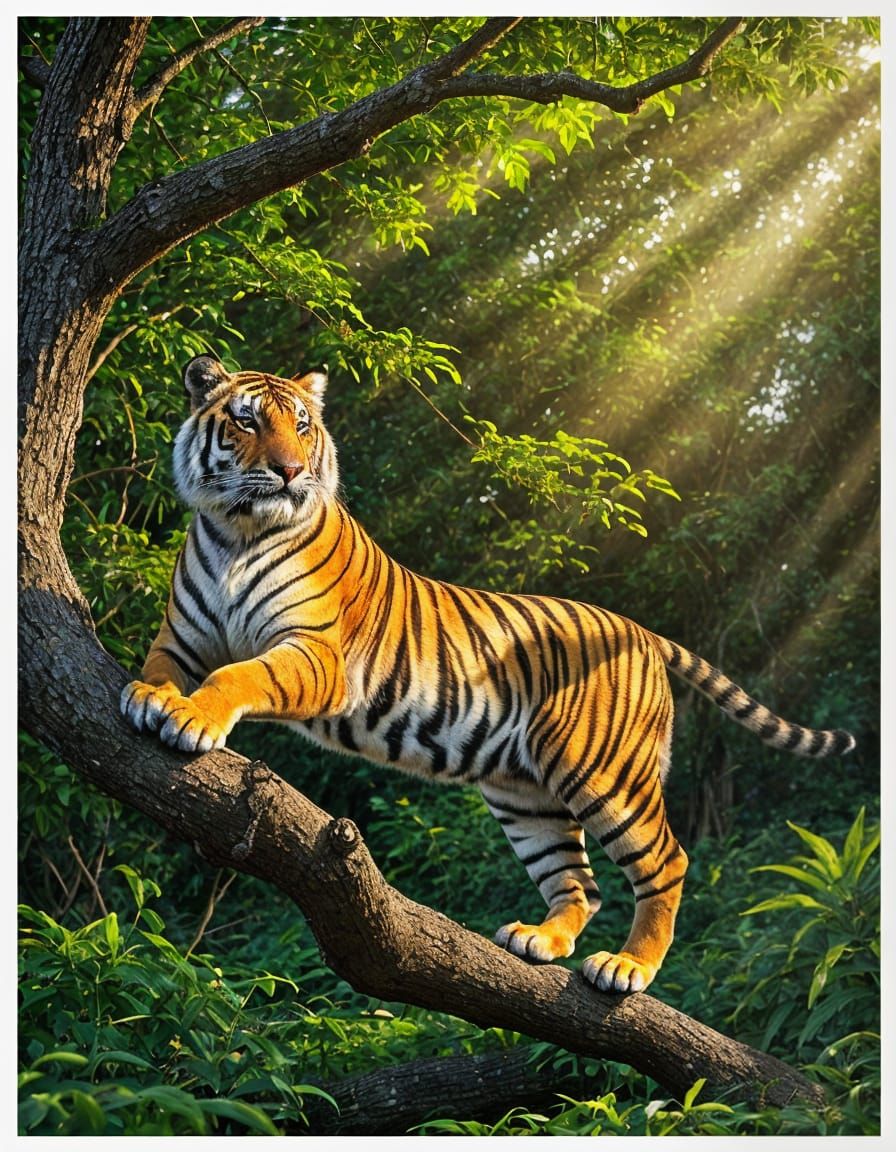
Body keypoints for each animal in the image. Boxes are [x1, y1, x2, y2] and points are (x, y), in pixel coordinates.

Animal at [121, 354, 856, 994]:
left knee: (666, 862)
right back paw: (542, 942)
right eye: (246, 422)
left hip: (607, 773)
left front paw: (189, 718)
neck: (238, 534)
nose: (290, 471)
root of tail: (641, 631)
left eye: (302, 425)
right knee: (580, 882)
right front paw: (146, 696)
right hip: (525, 793)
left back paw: (628, 968)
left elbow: (239, 677)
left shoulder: (315, 654)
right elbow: (160, 666)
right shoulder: (183, 637)